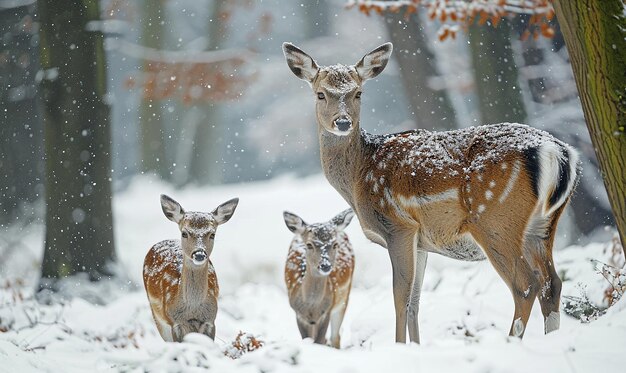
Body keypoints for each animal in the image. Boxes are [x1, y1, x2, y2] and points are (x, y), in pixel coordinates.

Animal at [143, 193, 238, 342]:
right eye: (184, 233)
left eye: (212, 234)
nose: (199, 254)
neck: (192, 310)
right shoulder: (174, 322)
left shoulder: (210, 320)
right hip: (157, 316)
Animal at [284, 208, 354, 348]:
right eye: (309, 245)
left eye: (335, 244)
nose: (325, 265)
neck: (311, 307)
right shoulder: (298, 313)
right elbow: (307, 339)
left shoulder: (327, 310)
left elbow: (320, 341)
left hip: (344, 298)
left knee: (335, 337)